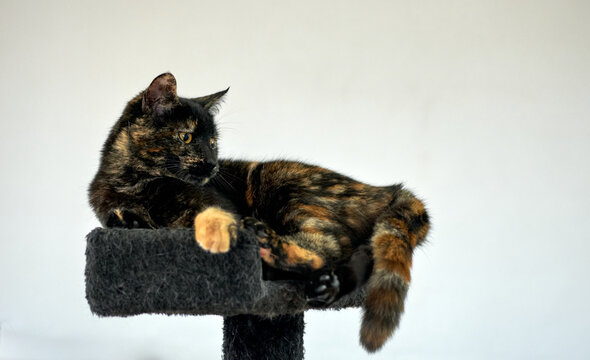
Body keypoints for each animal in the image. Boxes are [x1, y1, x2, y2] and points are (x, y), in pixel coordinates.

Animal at [88, 73, 430, 352]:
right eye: (186, 137)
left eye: (213, 142)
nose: (213, 164)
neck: (136, 182)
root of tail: (384, 189)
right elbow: (119, 219)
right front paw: (129, 220)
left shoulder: (216, 204)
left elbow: (205, 220)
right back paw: (324, 285)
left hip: (285, 185)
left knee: (329, 246)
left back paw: (266, 248)